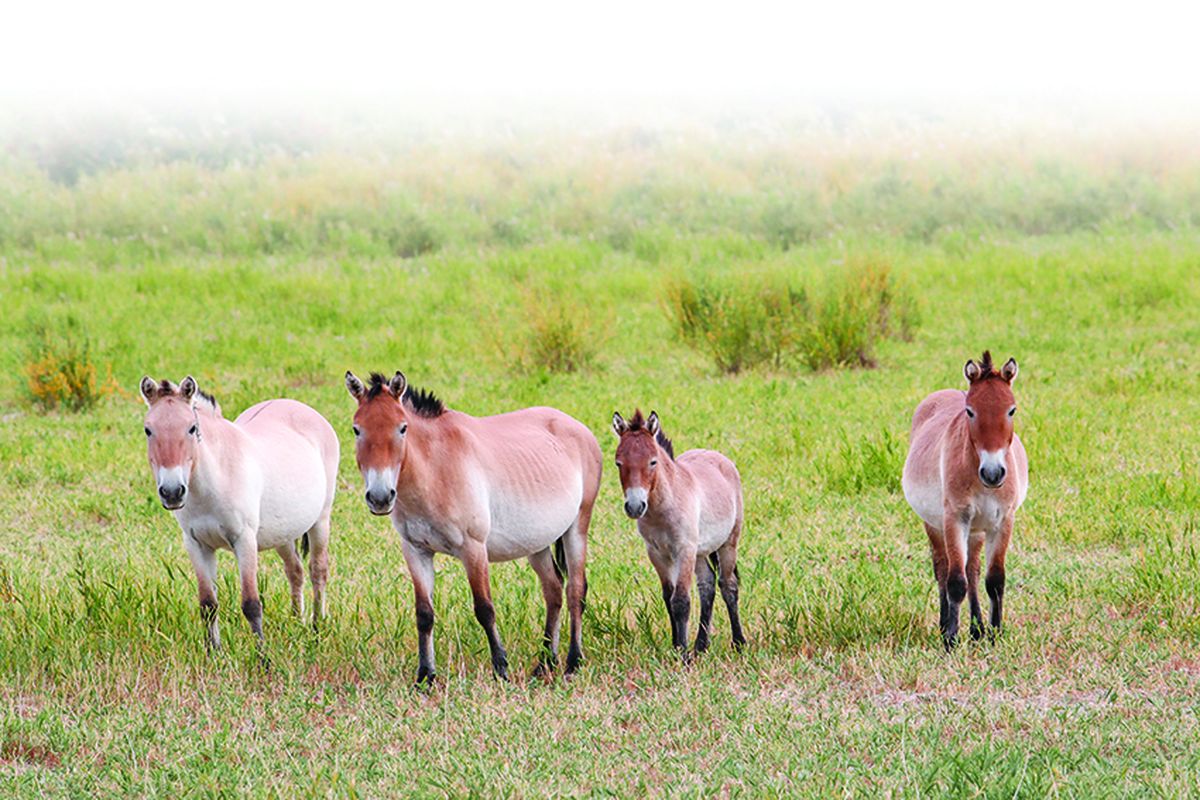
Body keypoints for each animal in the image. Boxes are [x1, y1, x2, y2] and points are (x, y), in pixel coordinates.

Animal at [139, 376, 339, 653]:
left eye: (191, 428)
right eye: (148, 430)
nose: (172, 492)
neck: (216, 477)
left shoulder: (244, 541)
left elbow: (251, 605)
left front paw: (262, 658)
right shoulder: (197, 545)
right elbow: (208, 605)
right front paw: (213, 654)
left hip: (320, 522)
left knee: (317, 571)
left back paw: (317, 628)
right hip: (284, 534)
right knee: (295, 572)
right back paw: (295, 622)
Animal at [345, 370, 601, 683]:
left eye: (402, 428)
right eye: (357, 429)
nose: (380, 497)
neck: (436, 469)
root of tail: (579, 427)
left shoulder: (474, 549)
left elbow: (484, 609)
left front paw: (501, 669)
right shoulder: (416, 551)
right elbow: (424, 614)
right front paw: (425, 676)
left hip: (577, 529)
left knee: (575, 591)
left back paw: (572, 662)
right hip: (537, 543)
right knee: (553, 591)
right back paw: (544, 664)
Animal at [612, 409, 745, 659]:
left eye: (652, 461)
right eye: (618, 463)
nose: (634, 506)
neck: (664, 506)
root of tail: (718, 457)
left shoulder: (684, 549)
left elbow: (681, 601)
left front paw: (683, 656)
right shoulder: (657, 553)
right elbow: (668, 597)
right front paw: (677, 647)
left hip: (727, 543)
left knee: (728, 586)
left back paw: (739, 643)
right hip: (700, 552)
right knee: (707, 586)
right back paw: (701, 646)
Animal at [901, 351, 1028, 650]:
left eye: (1012, 410)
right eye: (970, 411)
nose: (993, 473)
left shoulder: (1002, 522)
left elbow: (994, 580)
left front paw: (995, 634)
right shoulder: (954, 520)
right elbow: (955, 581)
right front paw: (950, 639)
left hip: (977, 530)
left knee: (973, 570)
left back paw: (977, 628)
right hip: (935, 525)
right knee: (942, 568)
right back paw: (945, 625)